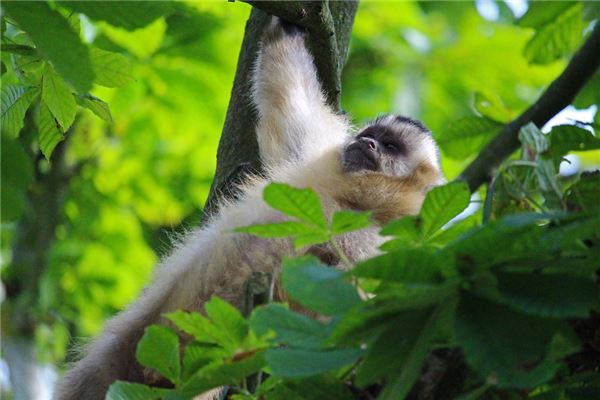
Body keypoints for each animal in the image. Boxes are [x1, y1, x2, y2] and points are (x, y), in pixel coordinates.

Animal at [55, 17, 443, 400]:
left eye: (390, 146)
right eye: (371, 136)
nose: (367, 143)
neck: (353, 204)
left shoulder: (382, 248)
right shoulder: (316, 155)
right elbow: (289, 100)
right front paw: (285, 25)